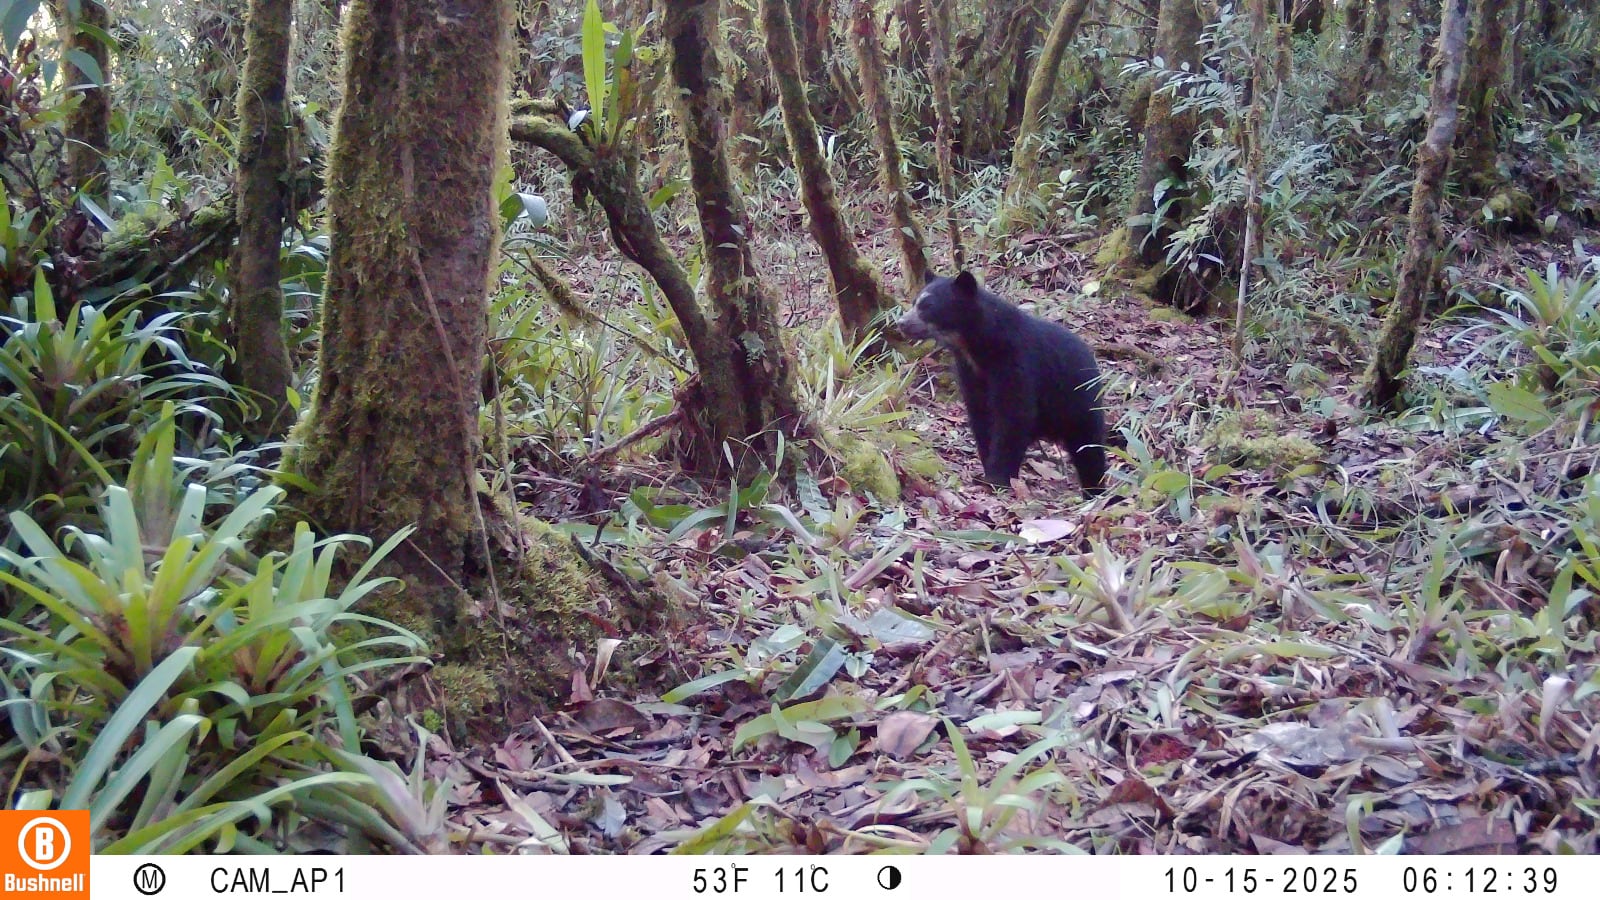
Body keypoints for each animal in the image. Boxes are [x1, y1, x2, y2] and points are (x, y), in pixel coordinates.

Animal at [897, 270, 1107, 495]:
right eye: (915, 302)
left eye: (928, 306)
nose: (901, 322)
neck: (977, 348)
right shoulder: (971, 373)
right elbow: (981, 416)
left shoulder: (1015, 362)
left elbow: (1013, 415)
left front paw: (997, 478)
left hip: (1079, 402)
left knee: (1089, 448)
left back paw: (1095, 490)